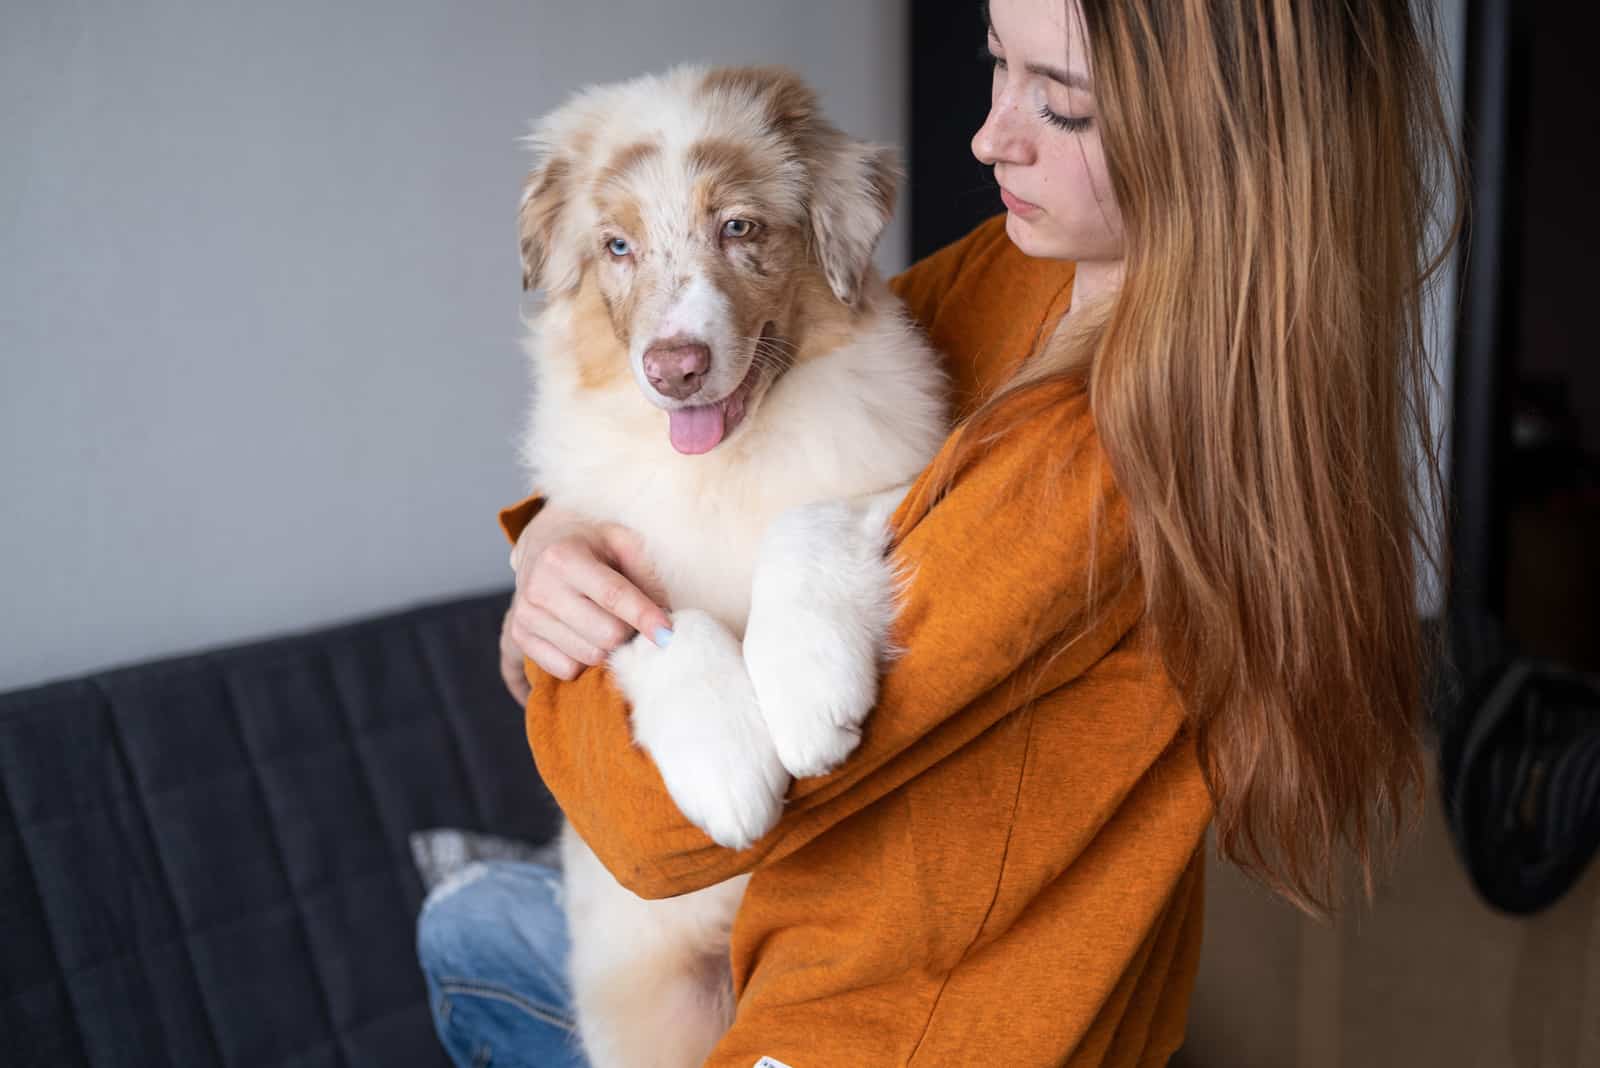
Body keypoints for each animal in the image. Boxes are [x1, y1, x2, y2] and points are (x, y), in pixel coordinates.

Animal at [518, 62, 940, 1061]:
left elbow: (804, 525)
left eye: (739, 228)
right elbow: (670, 623)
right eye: (618, 246)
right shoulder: (592, 564)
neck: (719, 467)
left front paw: (806, 695)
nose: (674, 368)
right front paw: (729, 768)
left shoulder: (897, 471)